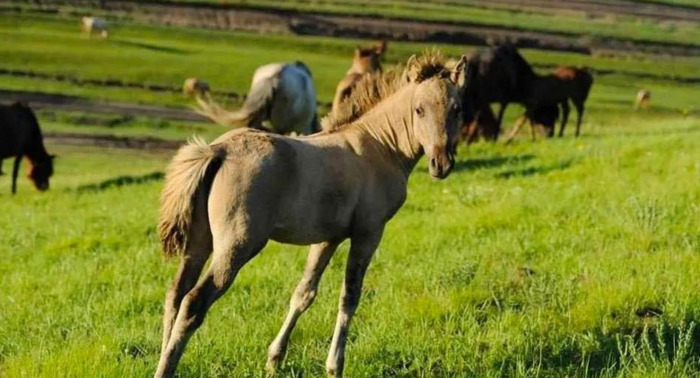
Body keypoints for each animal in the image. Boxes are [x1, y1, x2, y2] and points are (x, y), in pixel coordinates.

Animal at [156, 52, 468, 378]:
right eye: (419, 109)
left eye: (457, 109)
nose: (441, 164)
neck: (380, 145)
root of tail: (219, 150)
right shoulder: (369, 232)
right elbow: (349, 296)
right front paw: (335, 365)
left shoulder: (328, 238)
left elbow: (304, 293)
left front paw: (275, 359)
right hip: (237, 246)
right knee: (193, 302)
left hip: (199, 242)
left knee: (175, 294)